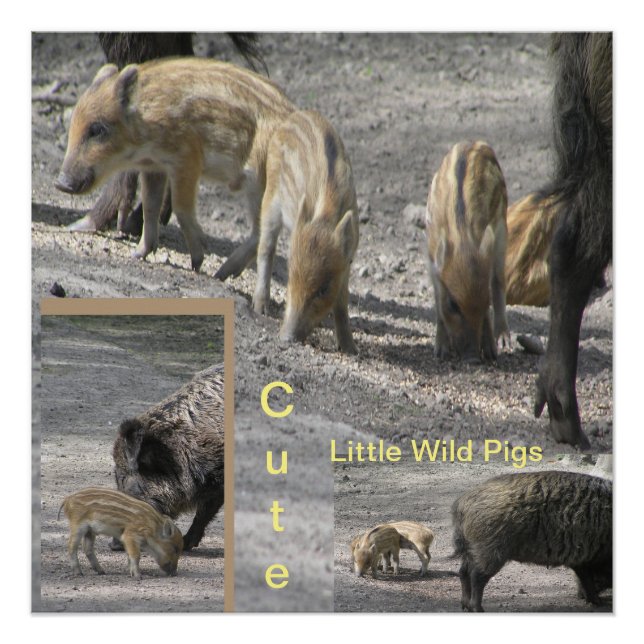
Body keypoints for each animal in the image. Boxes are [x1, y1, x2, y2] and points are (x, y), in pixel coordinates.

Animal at [56, 57, 295, 275]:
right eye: (73, 123)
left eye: (97, 129)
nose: (60, 184)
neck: (146, 125)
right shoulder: (154, 167)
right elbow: (150, 206)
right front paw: (137, 254)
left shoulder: (186, 160)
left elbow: (180, 207)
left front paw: (197, 262)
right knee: (261, 231)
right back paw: (223, 274)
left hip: (259, 182)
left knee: (263, 231)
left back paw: (221, 274)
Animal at [252, 110, 359, 353]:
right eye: (290, 276)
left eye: (323, 288)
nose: (285, 338)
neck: (325, 216)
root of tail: (292, 116)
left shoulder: (346, 261)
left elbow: (342, 302)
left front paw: (350, 348)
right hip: (270, 201)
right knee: (265, 250)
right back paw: (260, 308)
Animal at [425, 140, 510, 362]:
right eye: (453, 305)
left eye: (485, 301)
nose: (472, 356)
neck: (463, 238)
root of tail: (476, 142)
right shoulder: (432, 264)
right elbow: (438, 305)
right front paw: (441, 350)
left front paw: (491, 352)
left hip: (502, 232)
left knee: (499, 283)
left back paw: (503, 340)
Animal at [451, 470, 612, 612]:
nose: (578, 596)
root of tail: (462, 503)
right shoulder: (587, 558)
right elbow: (589, 580)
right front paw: (600, 603)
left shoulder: (582, 560)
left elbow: (586, 579)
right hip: (489, 550)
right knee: (477, 577)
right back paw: (478, 609)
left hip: (472, 550)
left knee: (463, 572)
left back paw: (465, 607)